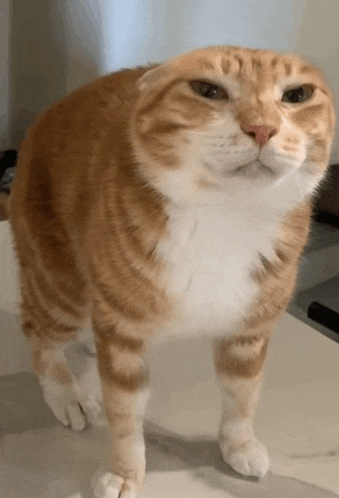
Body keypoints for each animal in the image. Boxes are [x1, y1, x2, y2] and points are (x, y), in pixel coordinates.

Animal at [9, 44, 336, 496]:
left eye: (297, 95)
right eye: (208, 90)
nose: (262, 128)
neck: (225, 217)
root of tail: (48, 112)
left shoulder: (248, 335)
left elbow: (243, 397)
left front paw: (239, 445)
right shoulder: (124, 343)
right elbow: (125, 417)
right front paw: (125, 471)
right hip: (60, 287)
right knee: (38, 334)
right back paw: (65, 393)